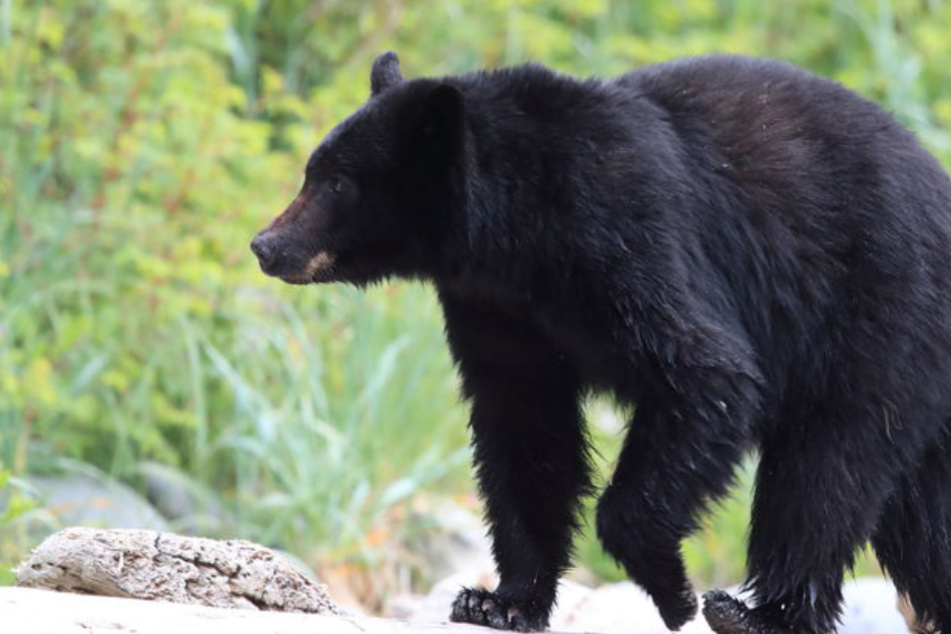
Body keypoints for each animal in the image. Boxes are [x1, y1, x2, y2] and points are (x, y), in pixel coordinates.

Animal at [250, 52, 951, 634]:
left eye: (337, 182)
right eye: (313, 170)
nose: (265, 244)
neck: (517, 237)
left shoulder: (626, 233)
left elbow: (707, 373)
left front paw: (673, 591)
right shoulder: (495, 308)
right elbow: (526, 432)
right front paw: (500, 601)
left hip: (878, 311)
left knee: (825, 468)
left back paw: (756, 614)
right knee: (921, 517)